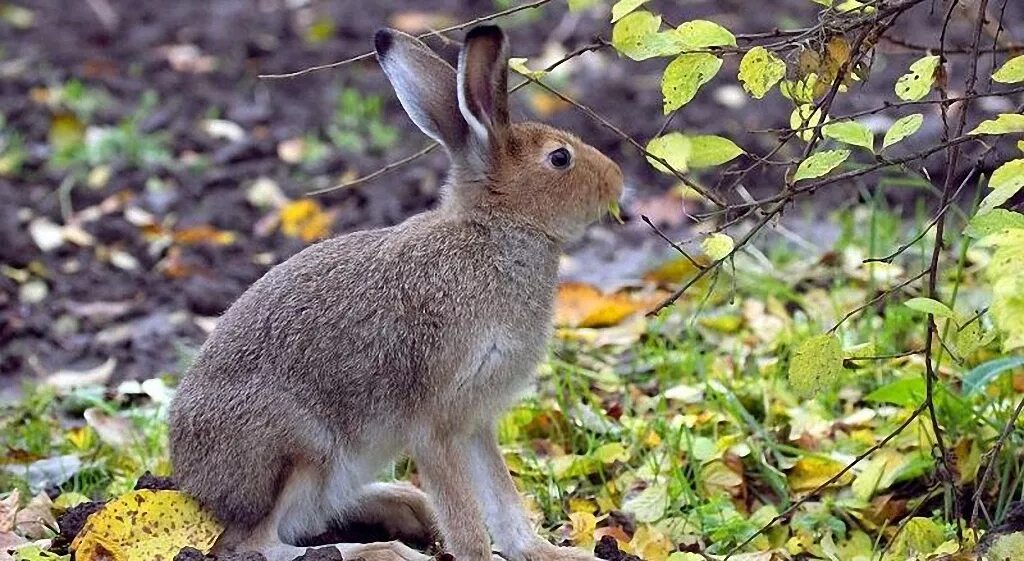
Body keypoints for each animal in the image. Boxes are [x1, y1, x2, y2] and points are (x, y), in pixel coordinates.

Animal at [169, 24, 623, 561]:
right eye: (560, 158)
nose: (617, 181)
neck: (493, 232)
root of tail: (193, 483)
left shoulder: (476, 420)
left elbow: (504, 501)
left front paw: (548, 553)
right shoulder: (435, 424)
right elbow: (466, 518)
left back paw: (407, 508)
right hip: (300, 448)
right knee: (258, 544)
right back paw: (385, 551)